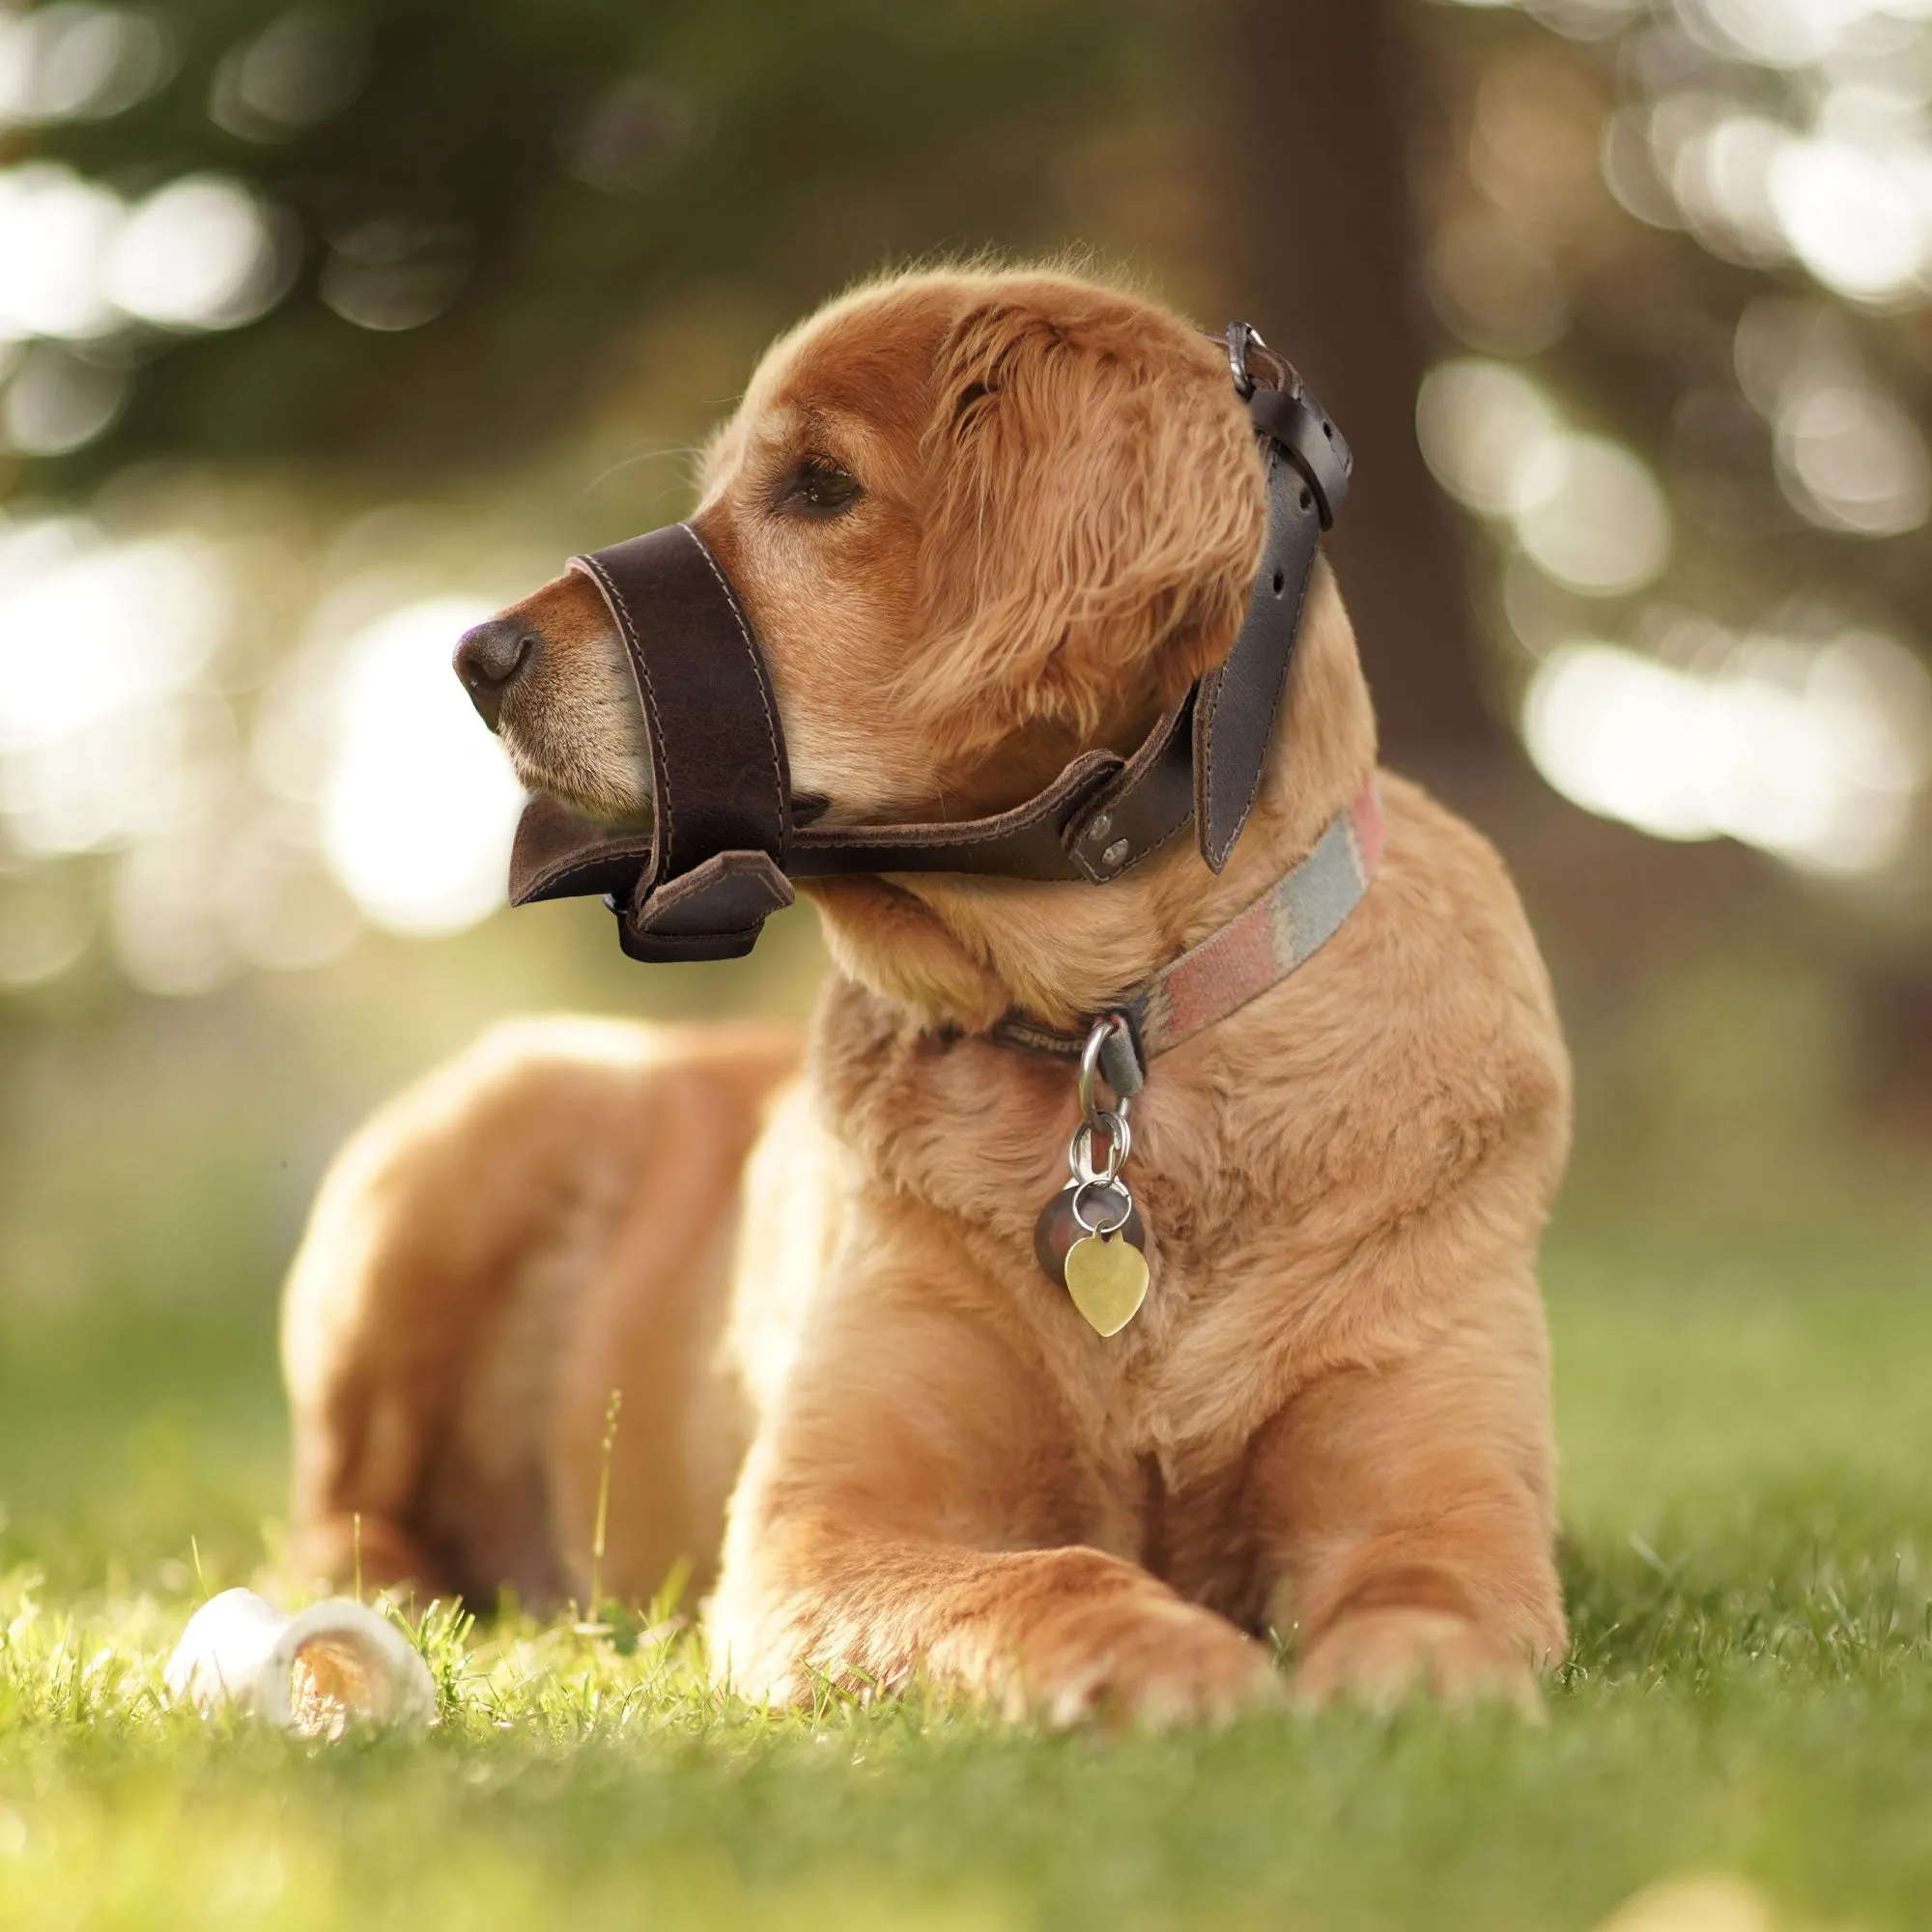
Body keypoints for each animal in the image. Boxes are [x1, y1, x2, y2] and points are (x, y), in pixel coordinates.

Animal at [282, 261, 1569, 1723]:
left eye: (818, 487)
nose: (476, 656)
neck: (1114, 1038)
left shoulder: (1442, 1487)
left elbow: (1431, 1596)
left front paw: (1418, 1691)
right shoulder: (817, 1524)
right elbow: (1042, 1576)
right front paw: (1169, 1655)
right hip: (469, 1144)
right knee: (334, 1521)